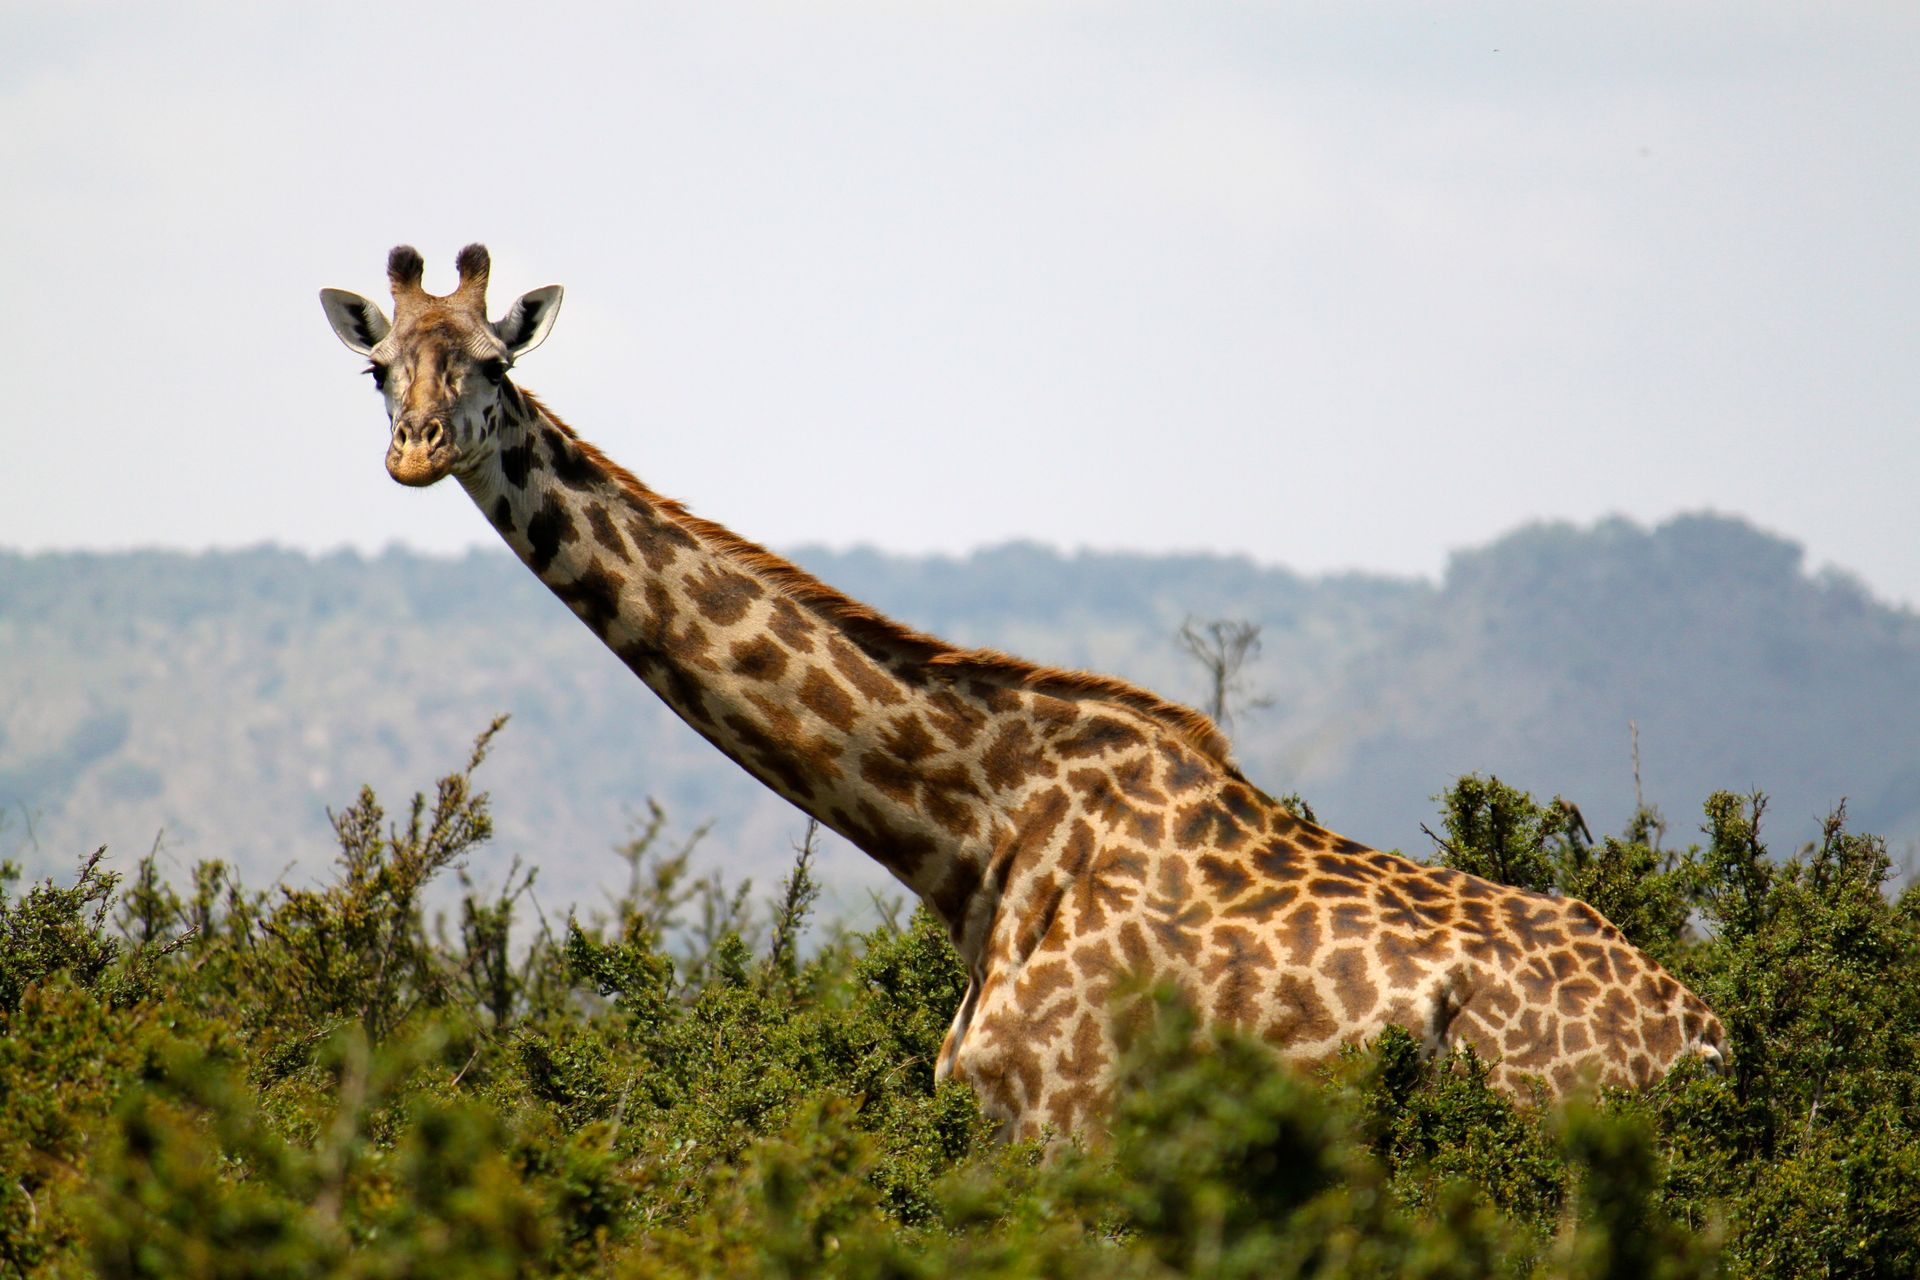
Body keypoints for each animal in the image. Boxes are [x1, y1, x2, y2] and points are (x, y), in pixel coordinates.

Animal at [321, 245, 1725, 1139]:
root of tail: (1707, 1036)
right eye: (381, 368)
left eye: (495, 361)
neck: (976, 836)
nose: (415, 452)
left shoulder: (1064, 1124)